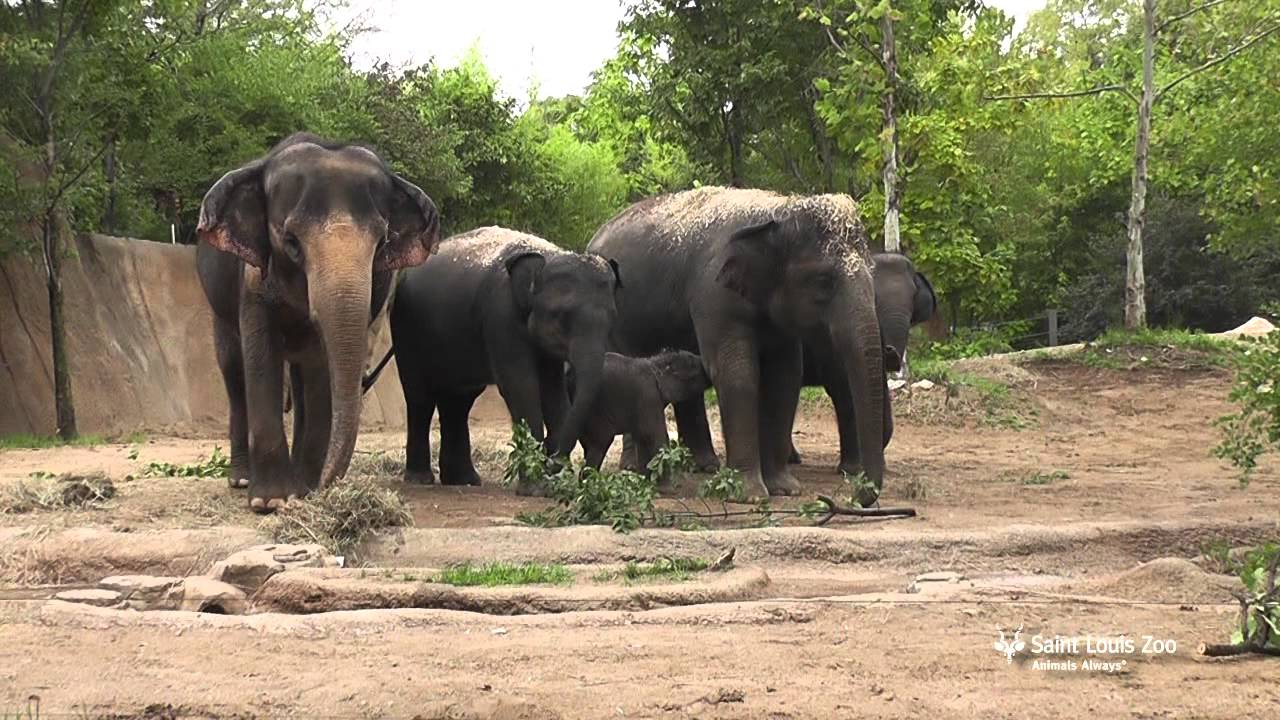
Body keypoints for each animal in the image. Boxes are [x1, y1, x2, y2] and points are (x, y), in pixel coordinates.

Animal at [196, 132, 440, 511]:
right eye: (291, 242)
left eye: (382, 243)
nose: (326, 484)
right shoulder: (252, 279)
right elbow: (261, 356)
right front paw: (271, 501)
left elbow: (319, 368)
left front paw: (305, 490)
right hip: (218, 307)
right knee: (234, 371)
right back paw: (242, 480)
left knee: (299, 378)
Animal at [389, 226, 621, 492]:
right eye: (561, 316)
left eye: (612, 318)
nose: (552, 464)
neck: (546, 256)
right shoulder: (500, 316)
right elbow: (521, 386)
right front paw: (535, 488)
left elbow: (553, 391)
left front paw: (553, 485)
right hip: (406, 329)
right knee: (420, 397)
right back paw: (420, 478)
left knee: (458, 402)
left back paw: (464, 481)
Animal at [568, 350, 710, 476]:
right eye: (694, 368)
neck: (656, 364)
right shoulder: (648, 395)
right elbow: (653, 435)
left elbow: (642, 438)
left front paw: (644, 480)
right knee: (600, 442)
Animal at [587, 187, 888, 504]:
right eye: (823, 280)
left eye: (872, 272)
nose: (853, 496)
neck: (778, 210)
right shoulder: (714, 293)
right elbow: (736, 373)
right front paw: (750, 495)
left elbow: (785, 379)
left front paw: (785, 489)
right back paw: (634, 469)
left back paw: (703, 466)